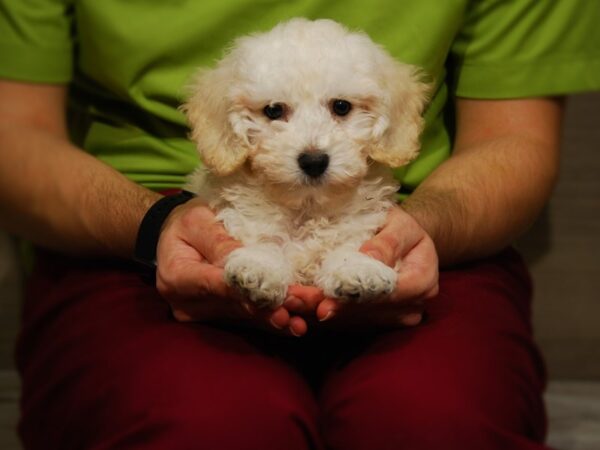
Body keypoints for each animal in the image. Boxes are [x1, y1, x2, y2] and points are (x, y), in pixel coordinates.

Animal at [183, 17, 426, 306]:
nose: (313, 161)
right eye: (273, 110)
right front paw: (260, 265)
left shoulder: (361, 225)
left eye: (341, 106)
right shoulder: (245, 221)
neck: (307, 209)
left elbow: (348, 246)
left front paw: (357, 267)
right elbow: (265, 241)